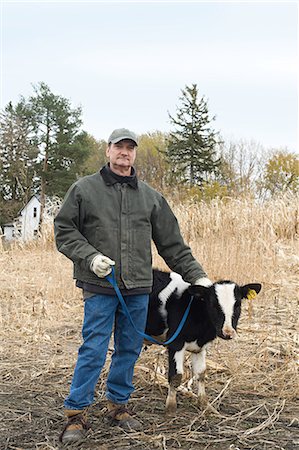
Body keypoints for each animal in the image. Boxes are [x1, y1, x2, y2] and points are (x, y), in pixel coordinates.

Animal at [145, 268, 262, 414]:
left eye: (238, 304)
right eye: (213, 304)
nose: (228, 333)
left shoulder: (200, 348)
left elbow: (201, 374)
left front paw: (205, 405)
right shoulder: (175, 343)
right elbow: (176, 376)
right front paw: (170, 408)